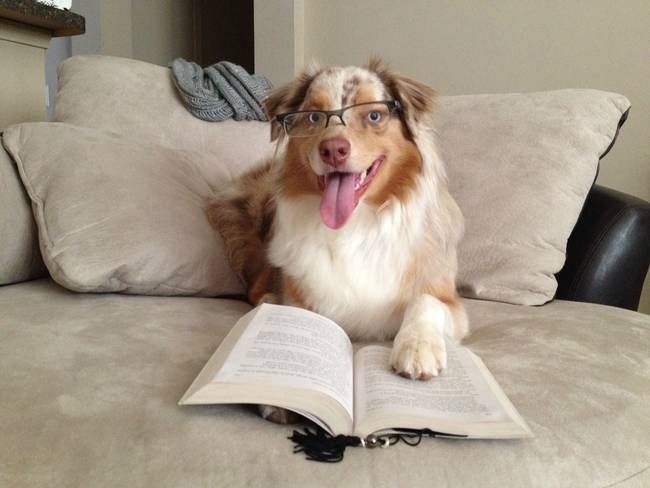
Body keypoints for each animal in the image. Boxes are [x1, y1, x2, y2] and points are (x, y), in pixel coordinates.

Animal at [208, 57, 466, 424]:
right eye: (315, 116)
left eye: (374, 116)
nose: (332, 149)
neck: (355, 226)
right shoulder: (299, 293)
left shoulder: (452, 303)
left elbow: (425, 301)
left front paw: (417, 349)